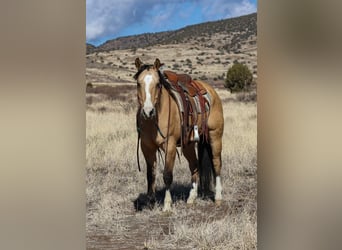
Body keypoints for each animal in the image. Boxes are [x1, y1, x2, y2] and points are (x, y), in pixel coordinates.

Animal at [134, 57, 224, 211]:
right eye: (138, 83)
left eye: (158, 84)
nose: (148, 111)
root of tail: (211, 91)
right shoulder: (147, 147)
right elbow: (150, 174)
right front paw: (150, 202)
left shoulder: (169, 145)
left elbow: (167, 175)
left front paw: (167, 205)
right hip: (188, 145)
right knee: (194, 166)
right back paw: (191, 198)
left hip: (215, 136)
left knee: (216, 163)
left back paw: (218, 198)